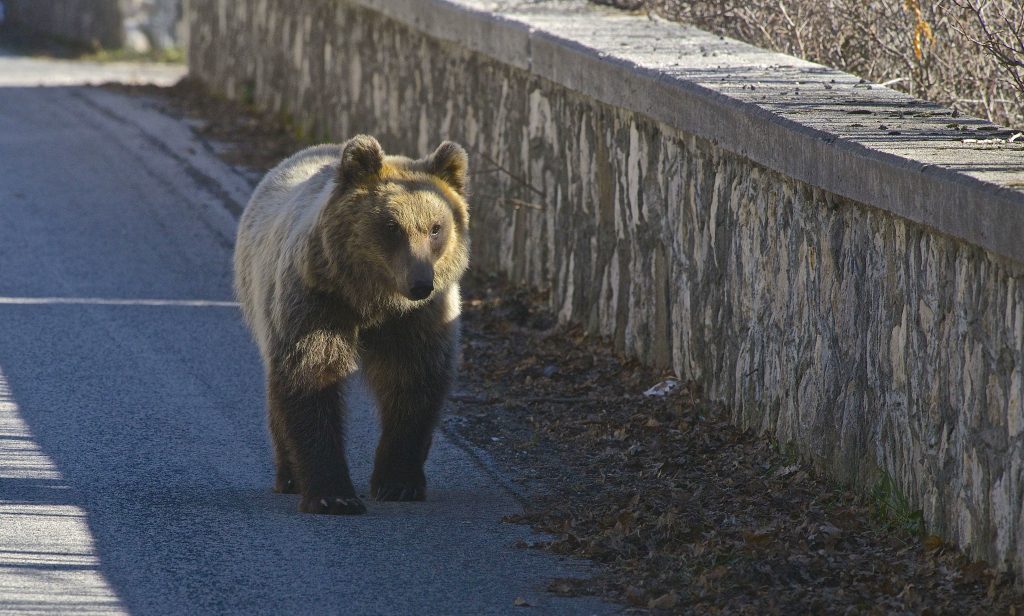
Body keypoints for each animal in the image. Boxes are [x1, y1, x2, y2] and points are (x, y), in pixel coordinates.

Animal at [233, 135, 470, 515]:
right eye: (392, 226)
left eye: (436, 227)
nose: (421, 283)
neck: (372, 301)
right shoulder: (318, 301)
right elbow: (312, 376)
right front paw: (333, 494)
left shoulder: (418, 319)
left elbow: (415, 381)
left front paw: (398, 483)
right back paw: (289, 475)